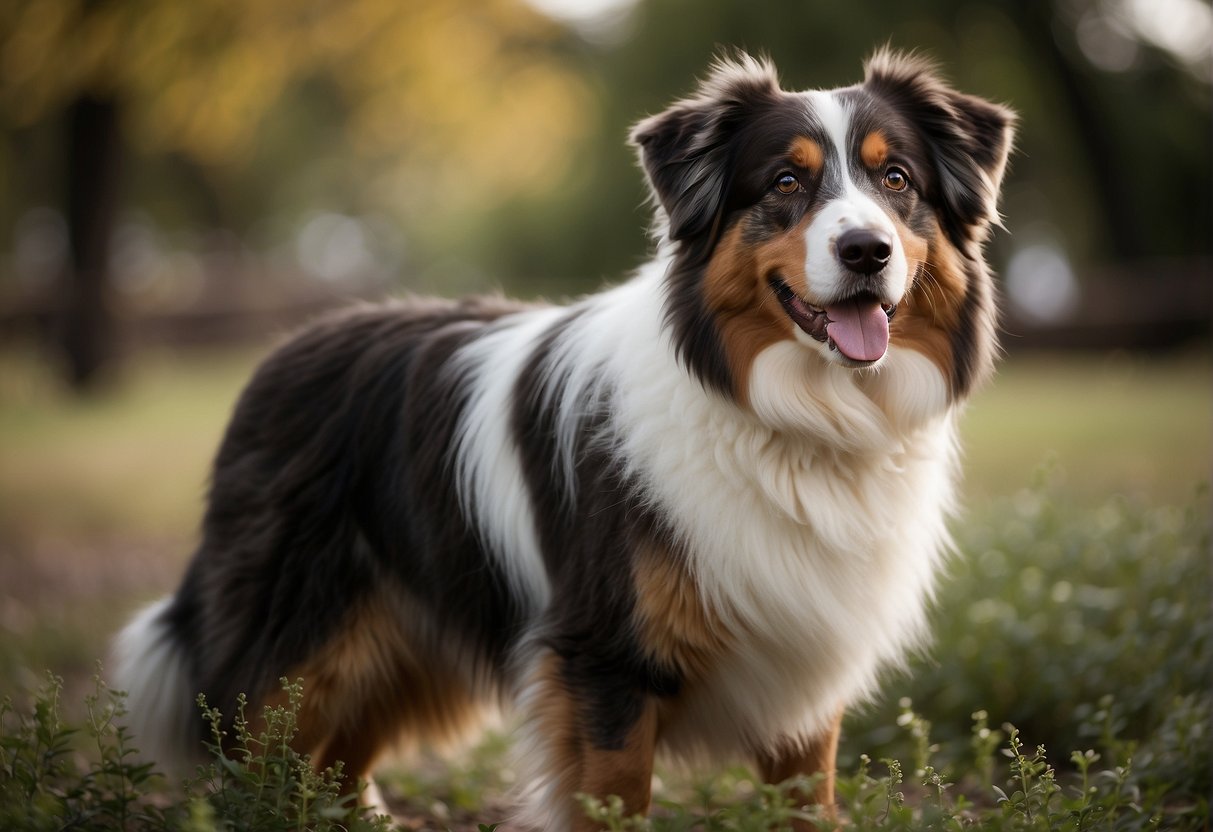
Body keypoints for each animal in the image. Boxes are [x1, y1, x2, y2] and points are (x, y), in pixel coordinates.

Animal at [115, 50, 1014, 829]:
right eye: (785, 182)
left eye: (895, 179)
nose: (866, 250)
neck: (795, 417)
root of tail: (282, 352)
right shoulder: (603, 656)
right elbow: (616, 798)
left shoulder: (802, 663)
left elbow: (807, 802)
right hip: (296, 646)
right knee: (259, 763)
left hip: (405, 642)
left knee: (335, 761)